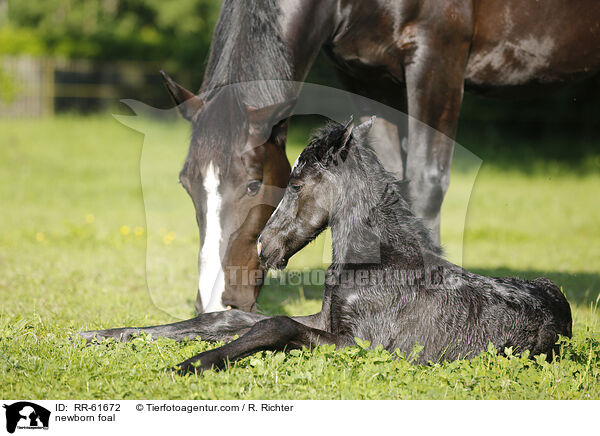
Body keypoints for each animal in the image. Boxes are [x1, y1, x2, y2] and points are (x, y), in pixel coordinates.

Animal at [79, 117, 572, 372]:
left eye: (296, 185)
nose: (265, 248)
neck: (377, 264)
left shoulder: (364, 345)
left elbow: (274, 323)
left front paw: (191, 364)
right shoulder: (325, 320)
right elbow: (228, 318)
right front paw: (98, 334)